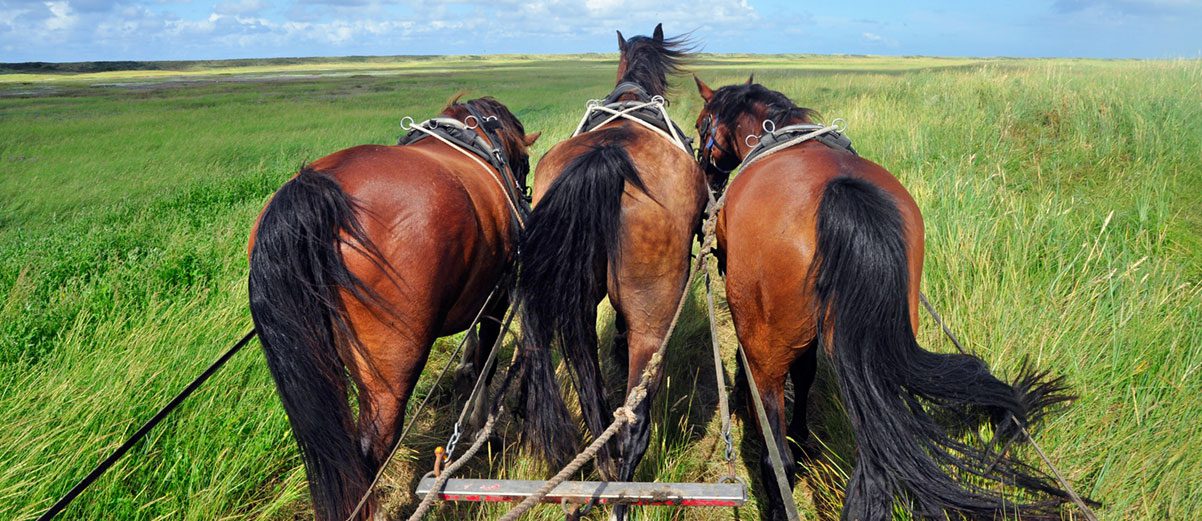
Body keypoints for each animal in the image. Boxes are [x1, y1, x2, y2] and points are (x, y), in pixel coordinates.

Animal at [246, 95, 538, 517]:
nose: (525, 195)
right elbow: (487, 358)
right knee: (371, 446)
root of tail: (316, 192)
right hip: (394, 360)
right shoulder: (496, 296)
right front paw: (480, 427)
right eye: (525, 162)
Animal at [514, 23, 701, 514]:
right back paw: (619, 498)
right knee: (633, 423)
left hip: (575, 304)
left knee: (594, 405)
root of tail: (605, 155)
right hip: (654, 316)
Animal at [692, 78, 1086, 519]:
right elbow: (807, 373)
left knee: (777, 460)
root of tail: (842, 192)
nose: (706, 176)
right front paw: (803, 433)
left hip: (769, 351)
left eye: (701, 124)